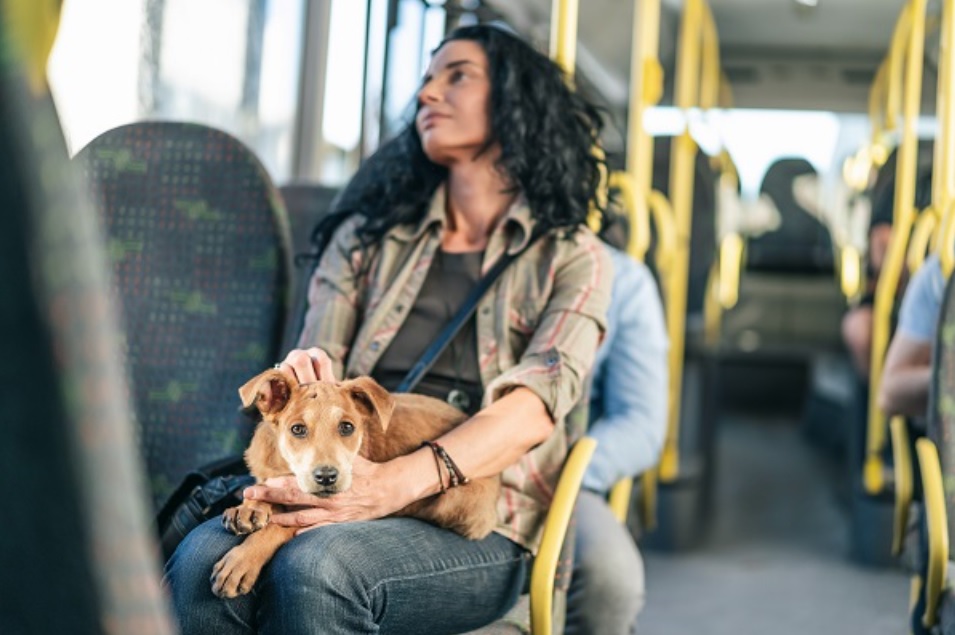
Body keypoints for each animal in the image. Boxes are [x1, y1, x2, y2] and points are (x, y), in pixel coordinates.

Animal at [209, 370, 500, 600]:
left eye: (347, 427)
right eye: (298, 429)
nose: (327, 477)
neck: (285, 468)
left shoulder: (317, 510)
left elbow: (279, 525)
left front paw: (241, 562)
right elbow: (262, 491)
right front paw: (249, 508)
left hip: (457, 504)